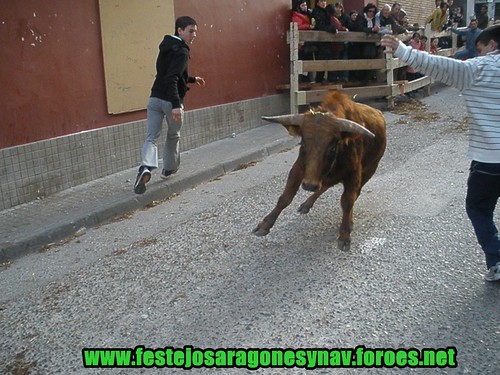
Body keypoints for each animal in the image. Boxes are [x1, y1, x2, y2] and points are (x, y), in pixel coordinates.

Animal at [254, 90, 386, 250]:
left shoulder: (354, 175)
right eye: (303, 144)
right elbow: (285, 197)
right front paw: (265, 224)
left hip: (370, 170)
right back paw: (307, 203)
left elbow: (347, 202)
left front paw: (345, 234)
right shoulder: (299, 168)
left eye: (332, 147)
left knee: (354, 194)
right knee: (324, 187)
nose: (309, 185)